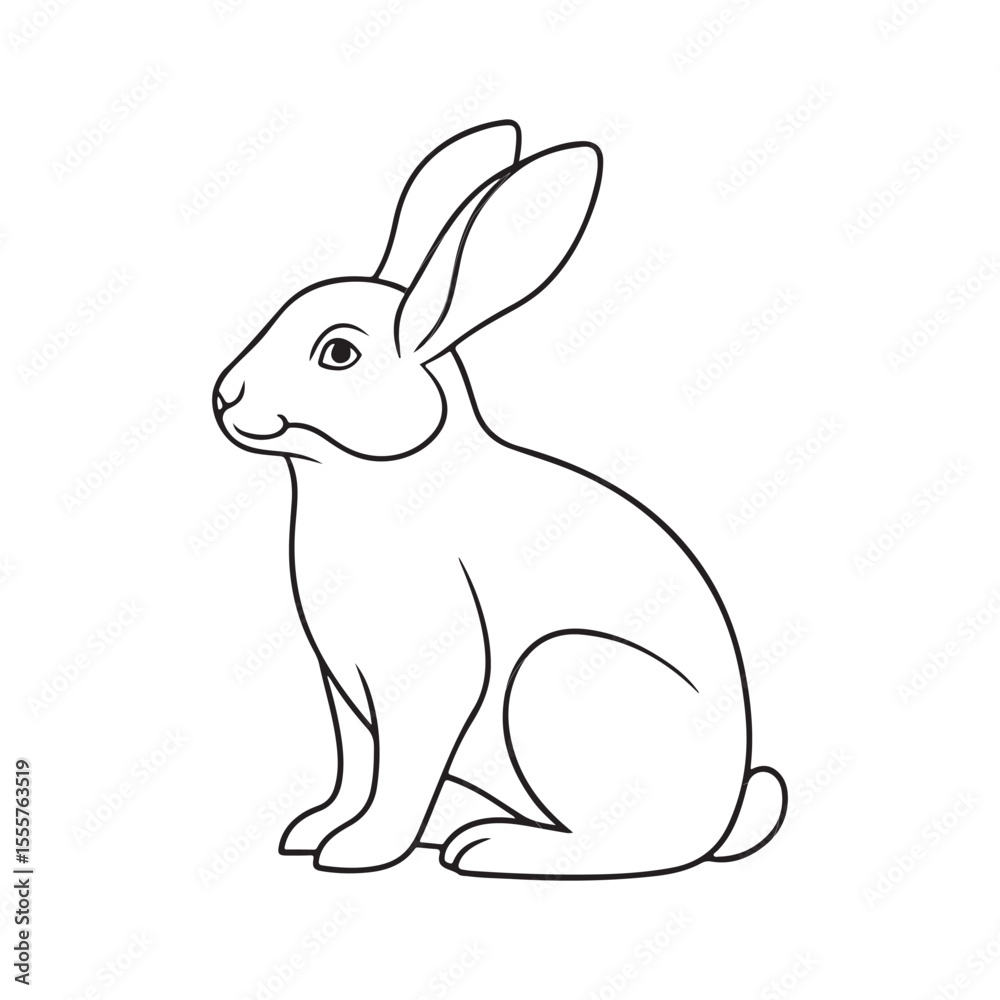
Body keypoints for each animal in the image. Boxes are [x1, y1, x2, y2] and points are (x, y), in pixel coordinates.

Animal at [213, 120, 787, 878]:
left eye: (338, 354)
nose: (226, 395)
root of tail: (725, 817)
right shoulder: (346, 690)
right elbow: (356, 768)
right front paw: (316, 830)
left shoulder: (428, 682)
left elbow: (400, 773)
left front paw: (361, 850)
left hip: (554, 677)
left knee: (625, 842)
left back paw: (486, 846)